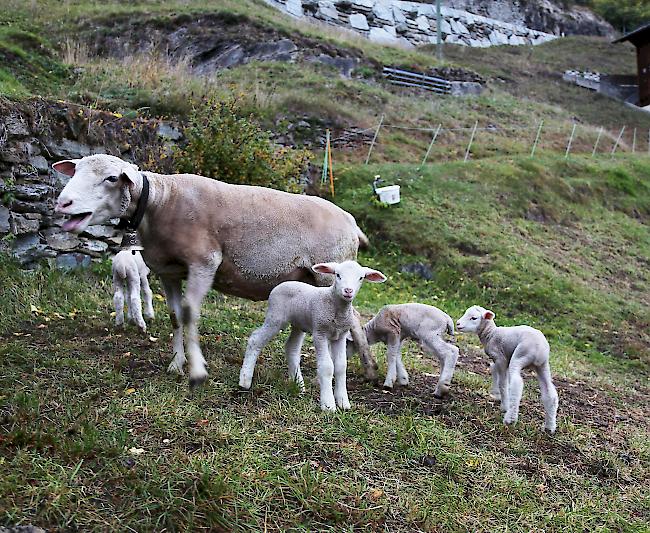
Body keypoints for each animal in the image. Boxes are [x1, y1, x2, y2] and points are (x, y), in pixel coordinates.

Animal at [53, 152, 378, 384]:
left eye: (111, 178)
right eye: (76, 171)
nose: (62, 203)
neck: (162, 200)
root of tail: (351, 221)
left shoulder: (205, 262)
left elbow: (189, 313)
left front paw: (196, 370)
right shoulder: (168, 271)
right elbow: (175, 316)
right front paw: (176, 364)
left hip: (329, 275)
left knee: (355, 317)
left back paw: (370, 369)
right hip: (310, 280)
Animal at [237, 260, 384, 410]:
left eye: (361, 278)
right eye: (338, 275)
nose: (348, 291)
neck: (336, 308)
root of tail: (282, 284)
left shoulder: (341, 336)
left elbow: (341, 366)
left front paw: (343, 402)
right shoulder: (320, 332)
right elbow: (327, 367)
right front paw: (328, 405)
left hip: (298, 323)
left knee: (291, 347)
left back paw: (298, 385)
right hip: (275, 316)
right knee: (256, 339)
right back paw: (245, 380)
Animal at [456, 304, 556, 432]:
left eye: (474, 318)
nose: (458, 323)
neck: (490, 334)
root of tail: (540, 349)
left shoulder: (501, 358)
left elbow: (503, 383)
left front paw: (504, 405)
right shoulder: (500, 359)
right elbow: (493, 370)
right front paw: (496, 394)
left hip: (520, 356)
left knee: (516, 384)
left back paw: (510, 418)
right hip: (542, 366)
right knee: (550, 392)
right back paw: (550, 426)